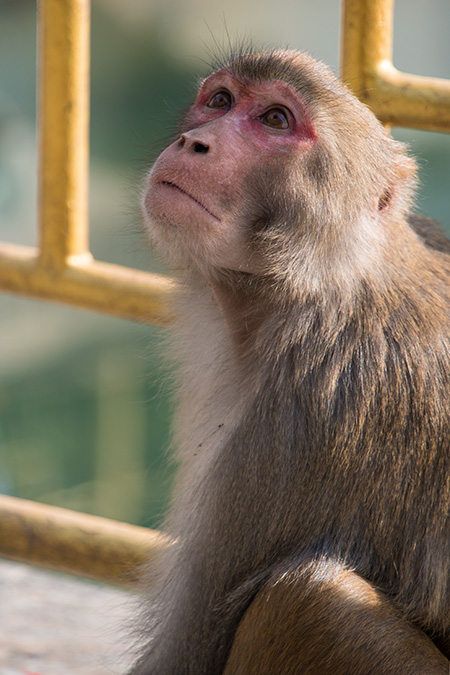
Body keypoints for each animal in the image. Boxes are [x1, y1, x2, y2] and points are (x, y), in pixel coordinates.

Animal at [132, 48, 450, 675]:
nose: (194, 142)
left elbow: (188, 653)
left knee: (308, 599)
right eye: (220, 100)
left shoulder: (301, 422)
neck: (318, 283)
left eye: (276, 120)